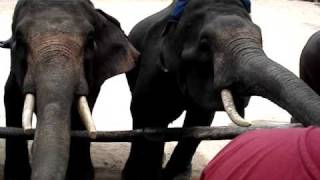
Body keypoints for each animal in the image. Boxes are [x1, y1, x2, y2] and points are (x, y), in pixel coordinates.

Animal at [123, 0, 320, 180]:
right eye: (204, 45)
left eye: (261, 39)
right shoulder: (153, 66)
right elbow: (149, 113)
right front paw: (139, 175)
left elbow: (201, 119)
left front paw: (174, 176)